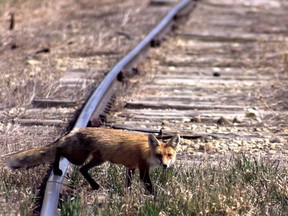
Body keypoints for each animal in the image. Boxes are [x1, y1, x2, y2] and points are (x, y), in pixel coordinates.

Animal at [3, 127, 180, 193]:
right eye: (159, 155)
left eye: (169, 155)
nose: (165, 165)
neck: (146, 151)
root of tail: (75, 130)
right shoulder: (142, 169)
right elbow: (149, 185)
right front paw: (156, 197)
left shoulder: (131, 167)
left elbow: (128, 183)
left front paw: (127, 194)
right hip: (78, 158)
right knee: (59, 150)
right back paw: (57, 170)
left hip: (97, 160)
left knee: (82, 170)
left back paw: (94, 185)